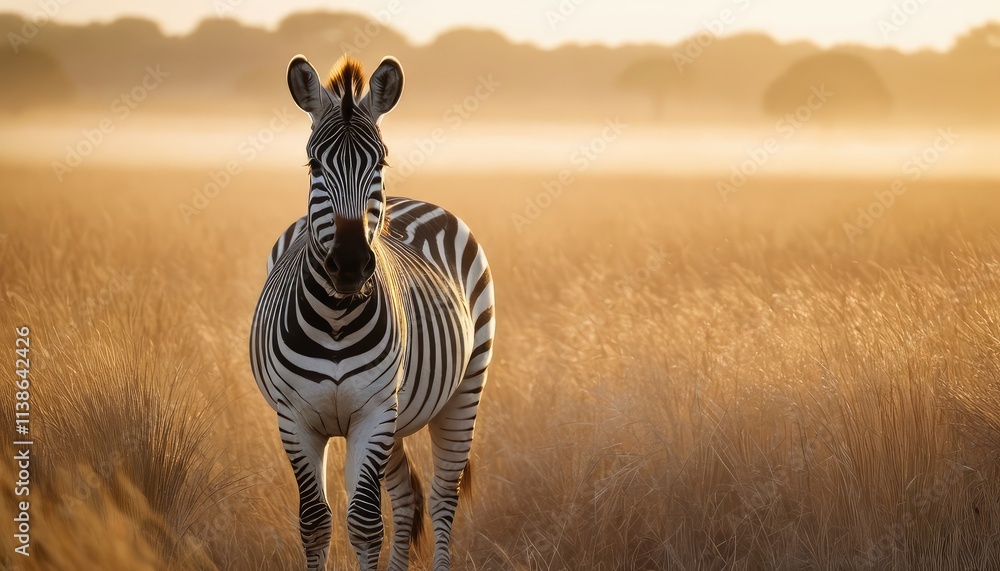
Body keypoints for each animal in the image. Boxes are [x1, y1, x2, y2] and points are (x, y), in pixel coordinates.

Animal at [250, 53, 495, 571]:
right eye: (313, 163)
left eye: (379, 161)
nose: (349, 264)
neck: (336, 319)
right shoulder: (295, 418)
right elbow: (315, 523)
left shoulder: (375, 413)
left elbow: (364, 523)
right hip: (400, 417)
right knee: (405, 497)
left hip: (464, 388)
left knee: (441, 498)